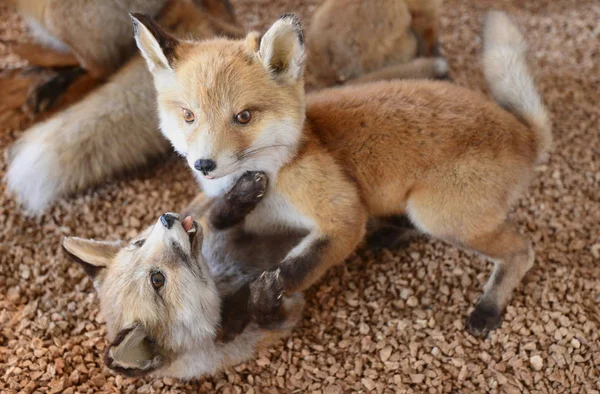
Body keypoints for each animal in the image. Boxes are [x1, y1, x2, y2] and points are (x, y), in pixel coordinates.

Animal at [63, 173, 308, 378]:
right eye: (157, 280)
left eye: (138, 243)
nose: (166, 219)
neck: (224, 278)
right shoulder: (279, 322)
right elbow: (265, 314)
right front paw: (263, 295)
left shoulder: (212, 226)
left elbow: (217, 215)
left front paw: (243, 192)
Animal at [129, 10, 552, 336]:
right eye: (189, 115)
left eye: (244, 116)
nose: (203, 164)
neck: (279, 170)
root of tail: (523, 132)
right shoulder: (220, 211)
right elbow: (213, 216)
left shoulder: (343, 213)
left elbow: (294, 269)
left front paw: (255, 302)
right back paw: (391, 233)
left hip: (440, 215)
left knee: (523, 252)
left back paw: (489, 307)